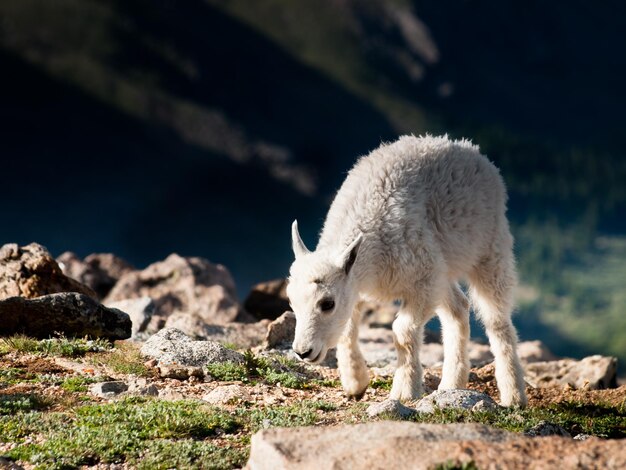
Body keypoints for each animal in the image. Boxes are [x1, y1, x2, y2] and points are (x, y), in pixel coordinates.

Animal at [286, 134, 524, 406]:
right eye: (291, 302)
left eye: (327, 304)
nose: (303, 352)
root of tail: (475, 152)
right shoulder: (359, 286)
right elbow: (348, 327)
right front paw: (356, 383)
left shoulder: (422, 281)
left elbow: (402, 331)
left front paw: (405, 390)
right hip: (443, 268)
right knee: (458, 307)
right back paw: (451, 385)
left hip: (490, 250)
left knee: (497, 320)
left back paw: (513, 395)